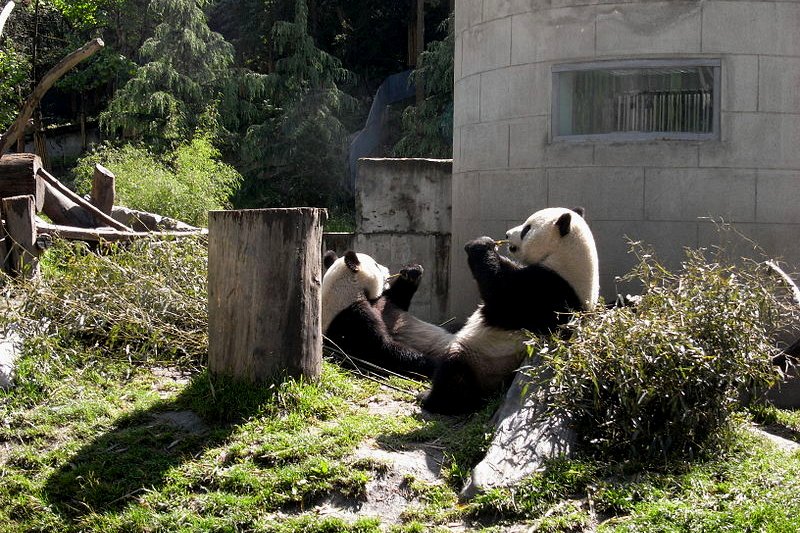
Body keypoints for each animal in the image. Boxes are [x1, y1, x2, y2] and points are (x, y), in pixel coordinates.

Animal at [320, 250, 438, 378]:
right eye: (376, 265)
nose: (387, 270)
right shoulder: (351, 318)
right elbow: (381, 349)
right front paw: (433, 363)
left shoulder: (379, 303)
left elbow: (396, 300)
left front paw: (412, 272)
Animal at [394, 206, 600, 414]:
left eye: (527, 229)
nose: (507, 234)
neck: (567, 258)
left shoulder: (551, 291)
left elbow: (504, 295)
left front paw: (480, 245)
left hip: (484, 360)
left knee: (454, 372)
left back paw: (432, 399)